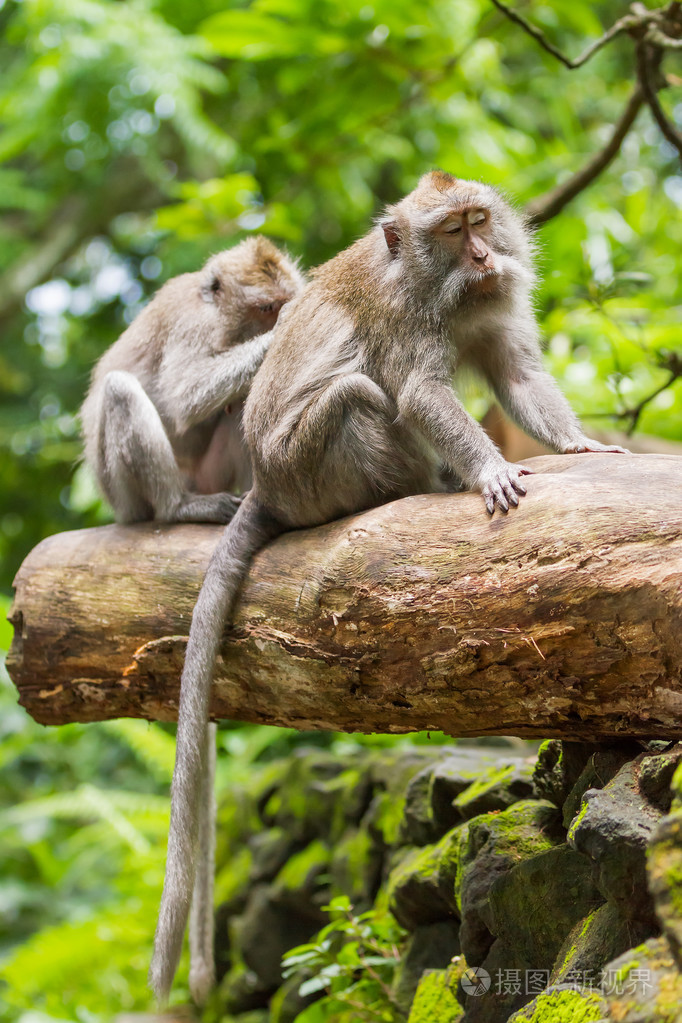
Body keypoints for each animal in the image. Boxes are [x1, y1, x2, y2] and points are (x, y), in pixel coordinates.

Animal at [80, 238, 304, 527]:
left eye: (283, 300)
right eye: (266, 308)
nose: (277, 319)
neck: (215, 313)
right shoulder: (193, 323)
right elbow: (183, 397)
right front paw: (279, 331)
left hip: (211, 474)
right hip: (124, 496)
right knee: (119, 389)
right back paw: (177, 507)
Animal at [149, 171, 629, 1002]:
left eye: (480, 220)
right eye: (451, 233)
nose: (482, 256)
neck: (439, 288)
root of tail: (269, 486)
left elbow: (519, 373)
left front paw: (577, 443)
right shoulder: (406, 321)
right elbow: (422, 394)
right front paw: (487, 469)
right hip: (313, 469)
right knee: (358, 396)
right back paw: (419, 485)